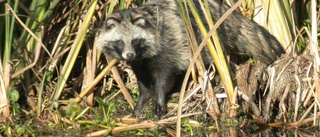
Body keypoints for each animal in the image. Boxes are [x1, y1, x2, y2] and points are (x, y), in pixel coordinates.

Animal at [97, 0, 284, 116]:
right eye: (120, 42)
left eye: (135, 41)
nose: (129, 54)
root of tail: (229, 13)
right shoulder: (139, 62)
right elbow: (143, 81)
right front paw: (142, 101)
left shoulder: (168, 46)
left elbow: (165, 77)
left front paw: (160, 98)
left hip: (209, 37)